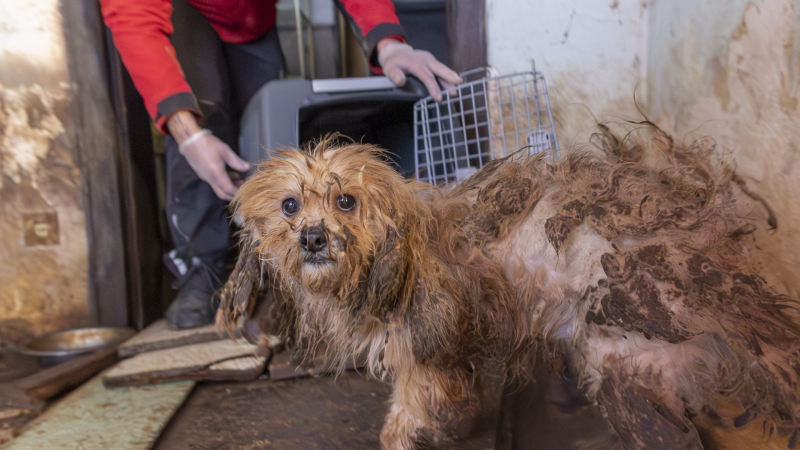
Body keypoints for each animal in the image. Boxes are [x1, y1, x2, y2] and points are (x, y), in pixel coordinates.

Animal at [217, 124, 800, 450]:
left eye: (345, 201)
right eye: (290, 204)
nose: (313, 237)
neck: (395, 253)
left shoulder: (422, 351)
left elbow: (407, 410)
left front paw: (402, 436)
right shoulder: (453, 353)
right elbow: (455, 395)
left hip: (622, 365)